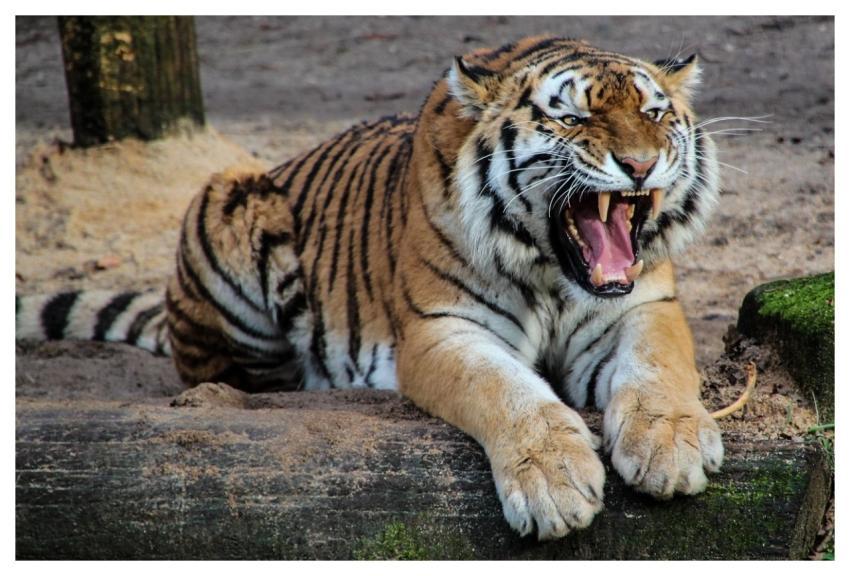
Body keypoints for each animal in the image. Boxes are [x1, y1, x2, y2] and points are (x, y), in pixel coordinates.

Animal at [17, 36, 724, 540]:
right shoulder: (442, 329)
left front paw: (671, 446)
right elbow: (506, 391)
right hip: (228, 198)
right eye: (573, 118)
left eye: (654, 112)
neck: (553, 271)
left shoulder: (643, 306)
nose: (640, 165)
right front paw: (554, 481)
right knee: (229, 375)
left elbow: (659, 367)